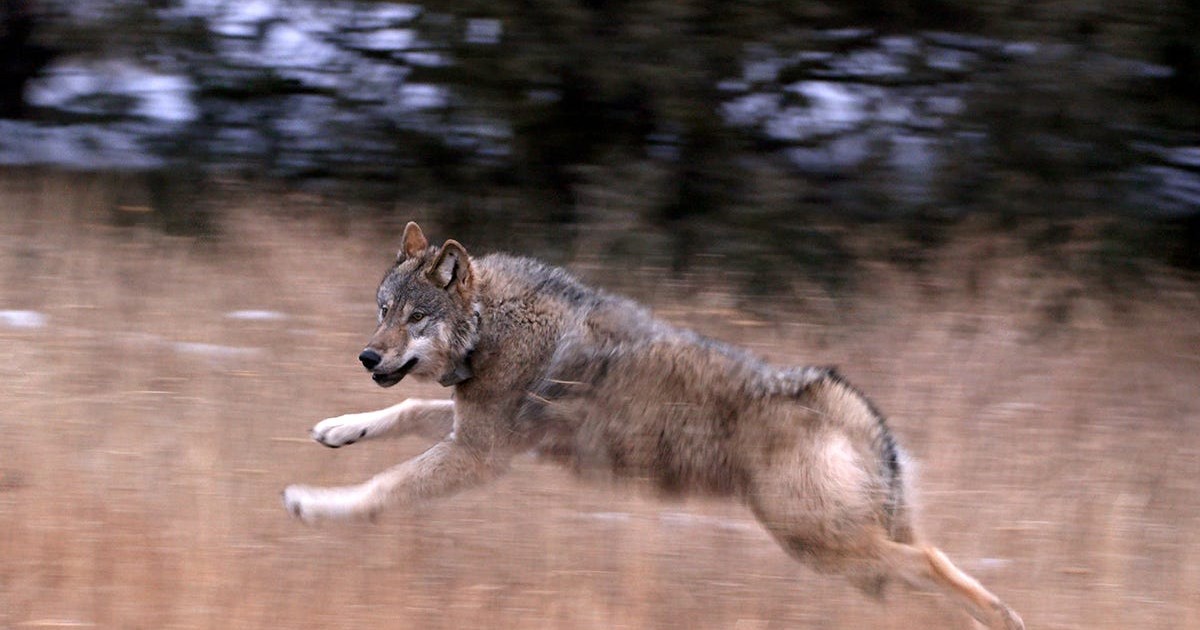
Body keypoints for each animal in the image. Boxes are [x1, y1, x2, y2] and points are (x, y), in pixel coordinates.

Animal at [282, 222, 1024, 630]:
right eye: (382, 309)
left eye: (415, 318)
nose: (367, 357)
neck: (493, 326)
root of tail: (843, 398)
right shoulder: (473, 427)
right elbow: (404, 411)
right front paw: (338, 429)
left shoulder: (480, 454)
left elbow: (382, 489)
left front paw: (314, 505)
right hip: (848, 558)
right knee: (922, 580)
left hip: (821, 545)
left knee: (933, 562)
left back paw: (1006, 618)